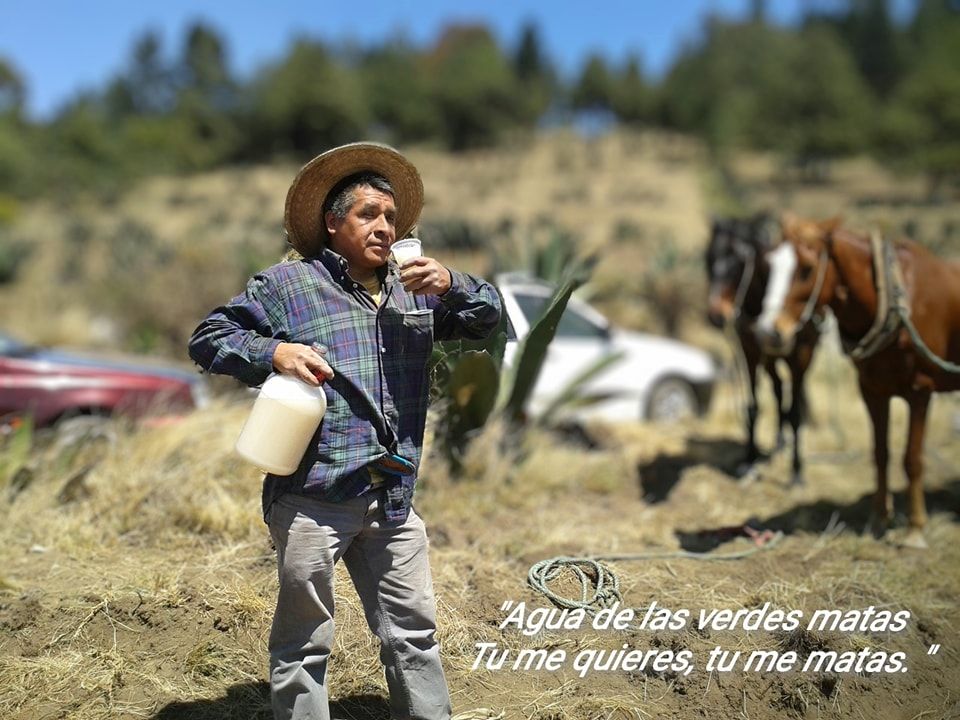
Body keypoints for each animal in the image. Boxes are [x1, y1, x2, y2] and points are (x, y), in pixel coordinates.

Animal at [756, 217, 960, 548]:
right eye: (768, 266)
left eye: (807, 269)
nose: (767, 333)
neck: (897, 304)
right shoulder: (872, 390)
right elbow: (880, 454)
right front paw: (878, 521)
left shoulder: (921, 392)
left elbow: (912, 459)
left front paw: (915, 530)